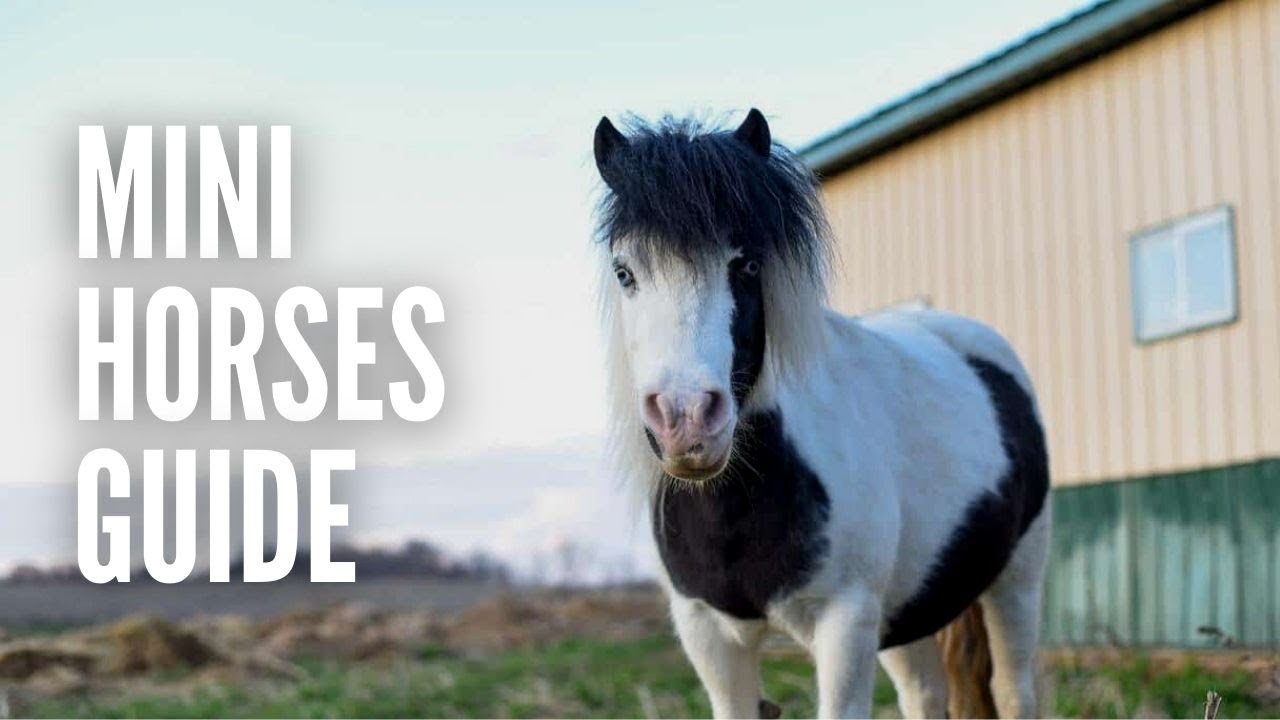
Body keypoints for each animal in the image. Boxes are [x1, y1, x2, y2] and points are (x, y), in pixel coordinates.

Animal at [592, 109, 1051, 719]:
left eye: (747, 264)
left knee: (1013, 689)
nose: (686, 420)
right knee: (925, 694)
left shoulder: (845, 623)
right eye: (625, 272)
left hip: (1017, 578)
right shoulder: (708, 635)